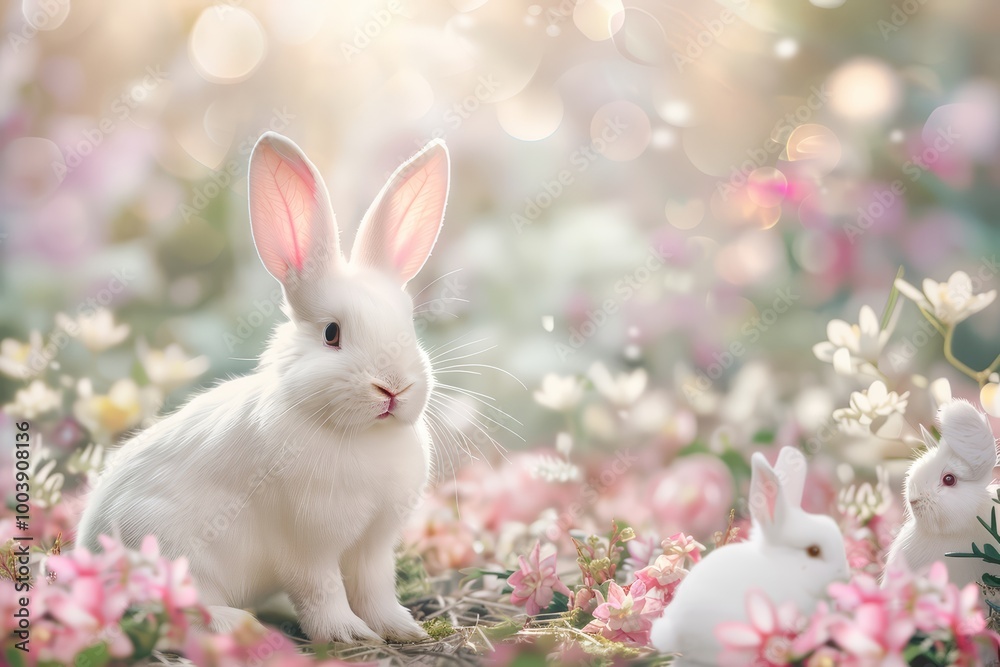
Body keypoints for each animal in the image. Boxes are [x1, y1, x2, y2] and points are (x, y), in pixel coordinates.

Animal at [76, 132, 451, 644]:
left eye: (409, 329)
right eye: (331, 333)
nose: (393, 388)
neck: (360, 434)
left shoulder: (373, 544)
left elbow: (376, 588)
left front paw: (401, 629)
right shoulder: (307, 544)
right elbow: (321, 590)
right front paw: (347, 634)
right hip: (166, 549)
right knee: (175, 610)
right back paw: (239, 625)